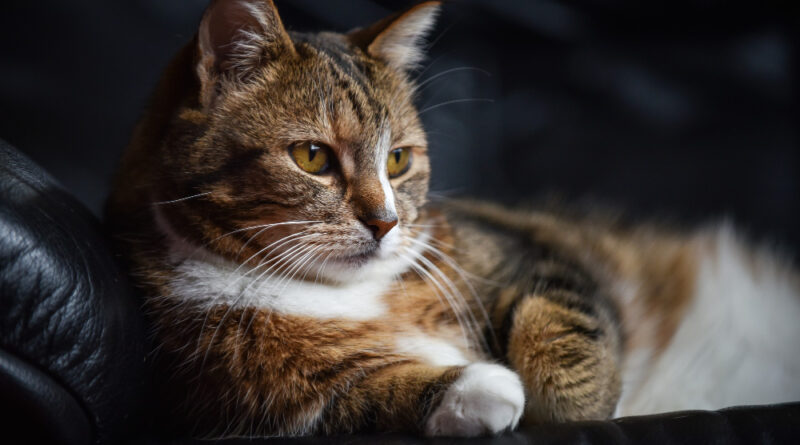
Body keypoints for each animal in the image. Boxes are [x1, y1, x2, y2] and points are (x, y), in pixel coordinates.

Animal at [106, 0, 800, 438]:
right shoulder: (237, 391)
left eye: (398, 158)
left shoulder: (525, 247)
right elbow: (355, 398)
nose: (386, 223)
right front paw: (477, 392)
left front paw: (578, 403)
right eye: (312, 157)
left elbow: (562, 318)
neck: (336, 292)